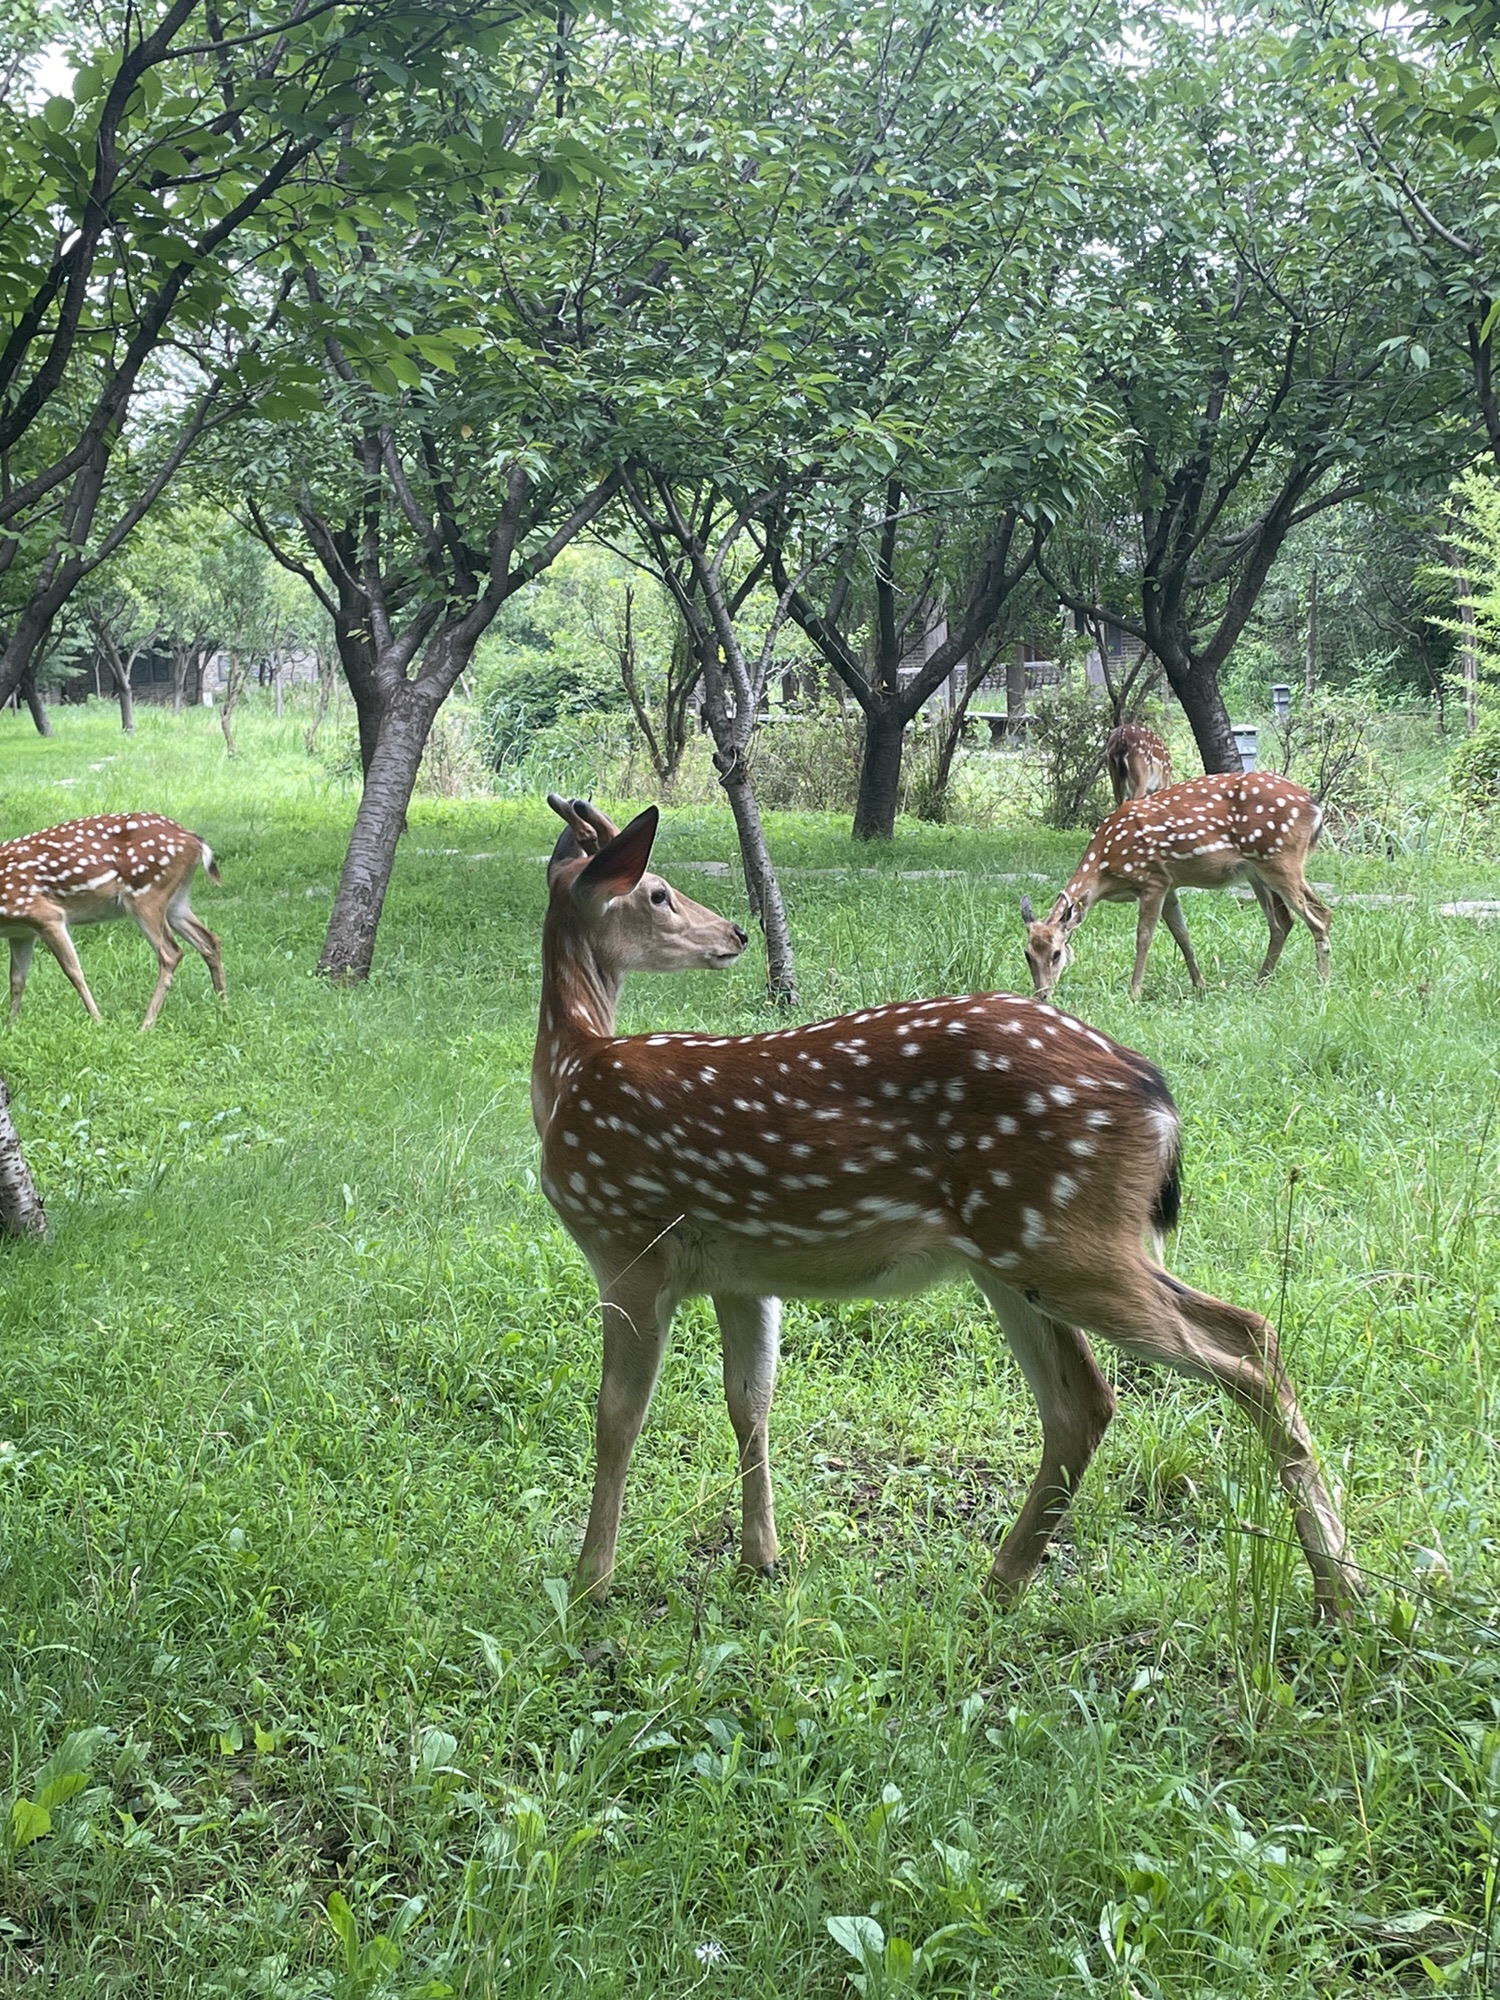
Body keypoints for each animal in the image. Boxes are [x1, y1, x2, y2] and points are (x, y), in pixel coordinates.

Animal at [0, 814, 226, 1030]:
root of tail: (194, 839)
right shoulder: (21, 932)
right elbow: (17, 979)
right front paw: (10, 1027)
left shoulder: (45, 914)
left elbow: (73, 971)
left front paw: (99, 1022)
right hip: (176, 901)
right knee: (210, 940)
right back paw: (223, 1009)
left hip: (148, 895)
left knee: (171, 953)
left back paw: (145, 1026)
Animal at [1021, 771, 1331, 1003]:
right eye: (1027, 954)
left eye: (1057, 953)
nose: (1042, 994)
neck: (1105, 867)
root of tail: (1315, 808)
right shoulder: (1170, 885)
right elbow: (1182, 935)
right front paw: (1200, 986)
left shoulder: (1153, 880)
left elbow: (1144, 937)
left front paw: (1134, 993)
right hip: (1257, 871)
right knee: (1283, 922)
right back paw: (1261, 982)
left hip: (1280, 858)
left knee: (1320, 915)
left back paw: (1321, 984)